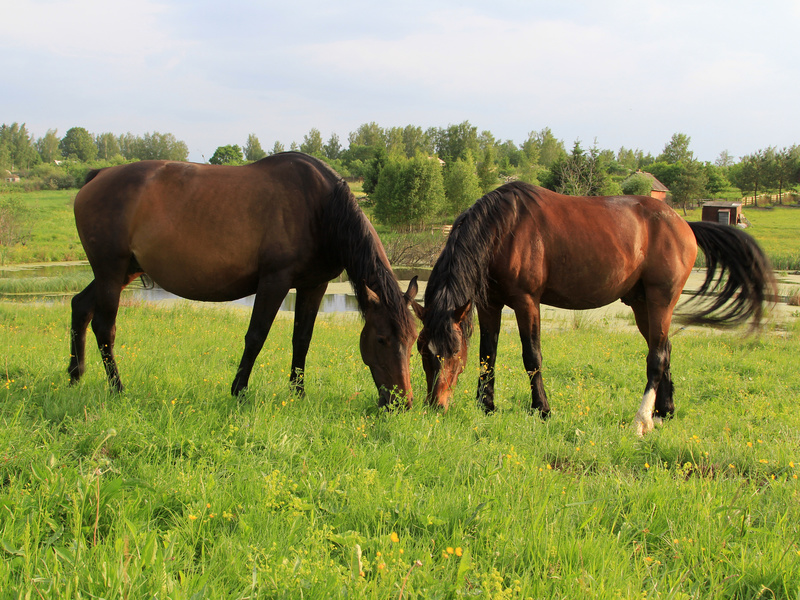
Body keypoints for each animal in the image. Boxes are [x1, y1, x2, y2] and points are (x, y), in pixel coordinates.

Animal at [69, 152, 418, 406]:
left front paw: (298, 394)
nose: (401, 403)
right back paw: (117, 388)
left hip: (122, 271)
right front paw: (238, 391)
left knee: (79, 306)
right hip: (111, 272)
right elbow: (256, 336)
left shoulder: (313, 285)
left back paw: (75, 375)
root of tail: (98, 175)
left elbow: (302, 340)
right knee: (105, 327)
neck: (320, 208)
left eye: (413, 341)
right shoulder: (274, 282)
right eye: (381, 339)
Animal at [412, 183, 776, 436]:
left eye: (453, 352)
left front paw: (542, 409)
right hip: (642, 305)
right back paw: (664, 412)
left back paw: (641, 420)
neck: (505, 229)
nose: (436, 406)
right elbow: (488, 356)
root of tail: (683, 224)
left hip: (661, 300)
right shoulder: (490, 303)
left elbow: (532, 357)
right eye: (424, 352)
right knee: (664, 348)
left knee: (656, 357)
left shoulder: (527, 301)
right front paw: (486, 406)